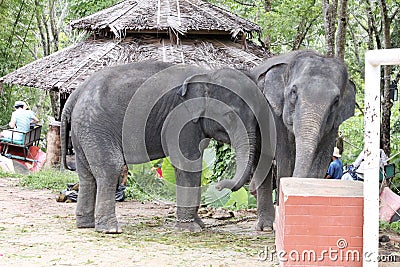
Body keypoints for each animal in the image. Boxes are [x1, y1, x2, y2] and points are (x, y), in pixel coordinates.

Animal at [61, 60, 276, 234]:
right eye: (229, 116)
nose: (219, 185)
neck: (207, 74)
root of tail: (74, 95)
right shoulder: (181, 118)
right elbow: (188, 163)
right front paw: (190, 229)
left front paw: (199, 225)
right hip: (95, 127)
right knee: (110, 168)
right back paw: (110, 230)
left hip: (84, 131)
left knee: (86, 174)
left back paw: (85, 225)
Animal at [250, 50, 356, 232]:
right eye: (293, 92)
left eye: (336, 100)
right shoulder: (275, 112)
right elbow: (285, 157)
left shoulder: (334, 124)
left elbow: (322, 159)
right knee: (262, 159)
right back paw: (265, 227)